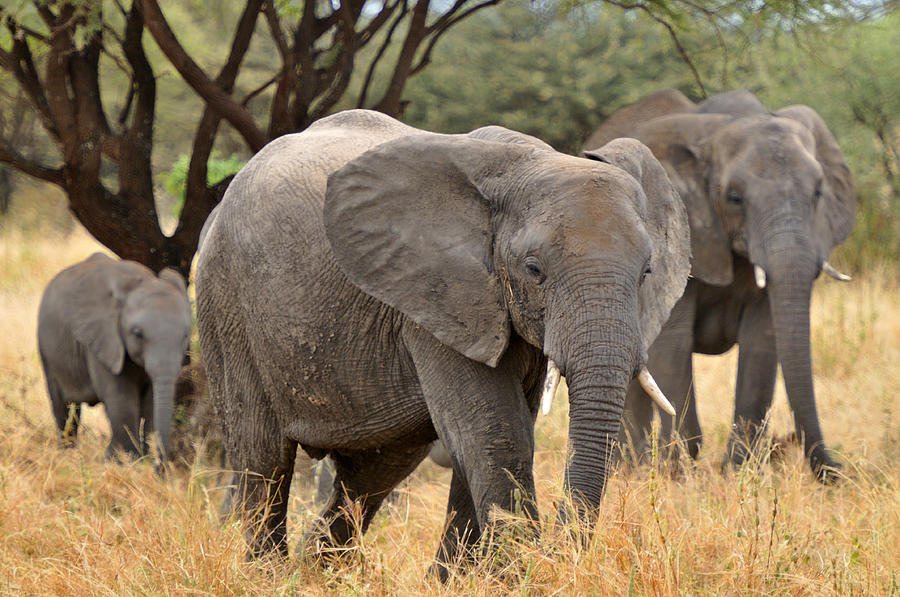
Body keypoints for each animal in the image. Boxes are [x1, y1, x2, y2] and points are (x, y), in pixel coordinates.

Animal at [38, 251, 192, 460]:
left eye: (185, 335)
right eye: (137, 334)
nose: (160, 465)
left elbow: (150, 400)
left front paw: (143, 457)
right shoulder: (103, 339)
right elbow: (121, 396)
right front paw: (121, 460)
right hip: (47, 351)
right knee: (63, 406)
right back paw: (66, 454)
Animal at [197, 109, 688, 572]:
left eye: (647, 272)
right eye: (534, 269)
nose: (561, 552)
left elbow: (496, 433)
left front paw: (464, 579)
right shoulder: (438, 296)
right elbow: (495, 432)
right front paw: (523, 575)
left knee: (373, 472)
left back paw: (316, 573)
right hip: (226, 304)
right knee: (263, 460)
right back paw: (271, 574)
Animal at [584, 88, 856, 482]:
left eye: (818, 192)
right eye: (734, 198)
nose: (840, 471)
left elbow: (763, 342)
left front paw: (736, 473)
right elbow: (672, 346)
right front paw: (679, 474)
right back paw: (630, 469)